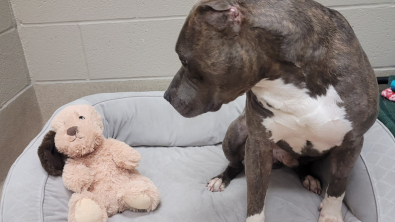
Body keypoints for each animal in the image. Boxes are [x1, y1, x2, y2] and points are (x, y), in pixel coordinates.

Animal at [163, 0, 378, 221]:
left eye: (184, 60)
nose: (167, 96)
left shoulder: (351, 144)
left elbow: (338, 184)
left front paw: (331, 215)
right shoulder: (258, 144)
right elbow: (255, 194)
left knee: (302, 165)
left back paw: (309, 177)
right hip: (236, 133)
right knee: (236, 164)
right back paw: (221, 179)